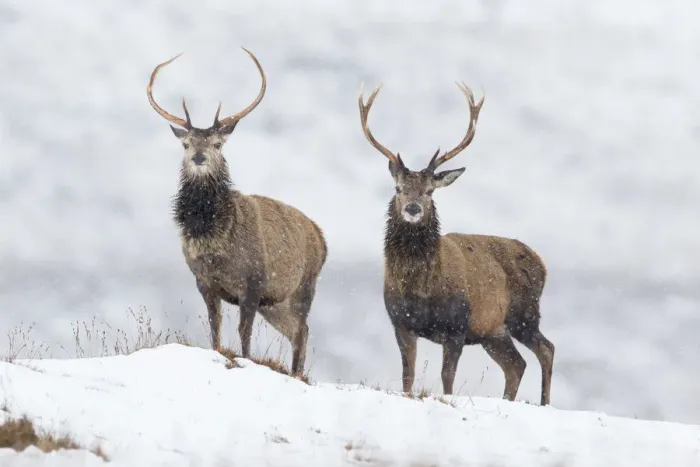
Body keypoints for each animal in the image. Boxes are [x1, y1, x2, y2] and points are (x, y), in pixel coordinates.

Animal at [146, 48, 328, 376]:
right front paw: (218, 352)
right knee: (299, 331)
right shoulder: (204, 281)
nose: (199, 157)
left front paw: (245, 361)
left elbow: (244, 333)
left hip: (304, 288)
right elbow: (215, 326)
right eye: (186, 144)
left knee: (302, 330)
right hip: (276, 302)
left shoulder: (254, 282)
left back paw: (297, 373)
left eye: (218, 143)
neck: (215, 237)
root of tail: (323, 239)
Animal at [358, 82, 555, 405]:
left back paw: (544, 402)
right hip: (493, 331)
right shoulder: (401, 323)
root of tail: (541, 262)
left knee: (546, 350)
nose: (413, 208)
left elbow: (447, 377)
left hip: (524, 314)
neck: (422, 288)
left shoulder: (457, 325)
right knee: (516, 364)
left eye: (429, 191)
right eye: (398, 188)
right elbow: (408, 374)